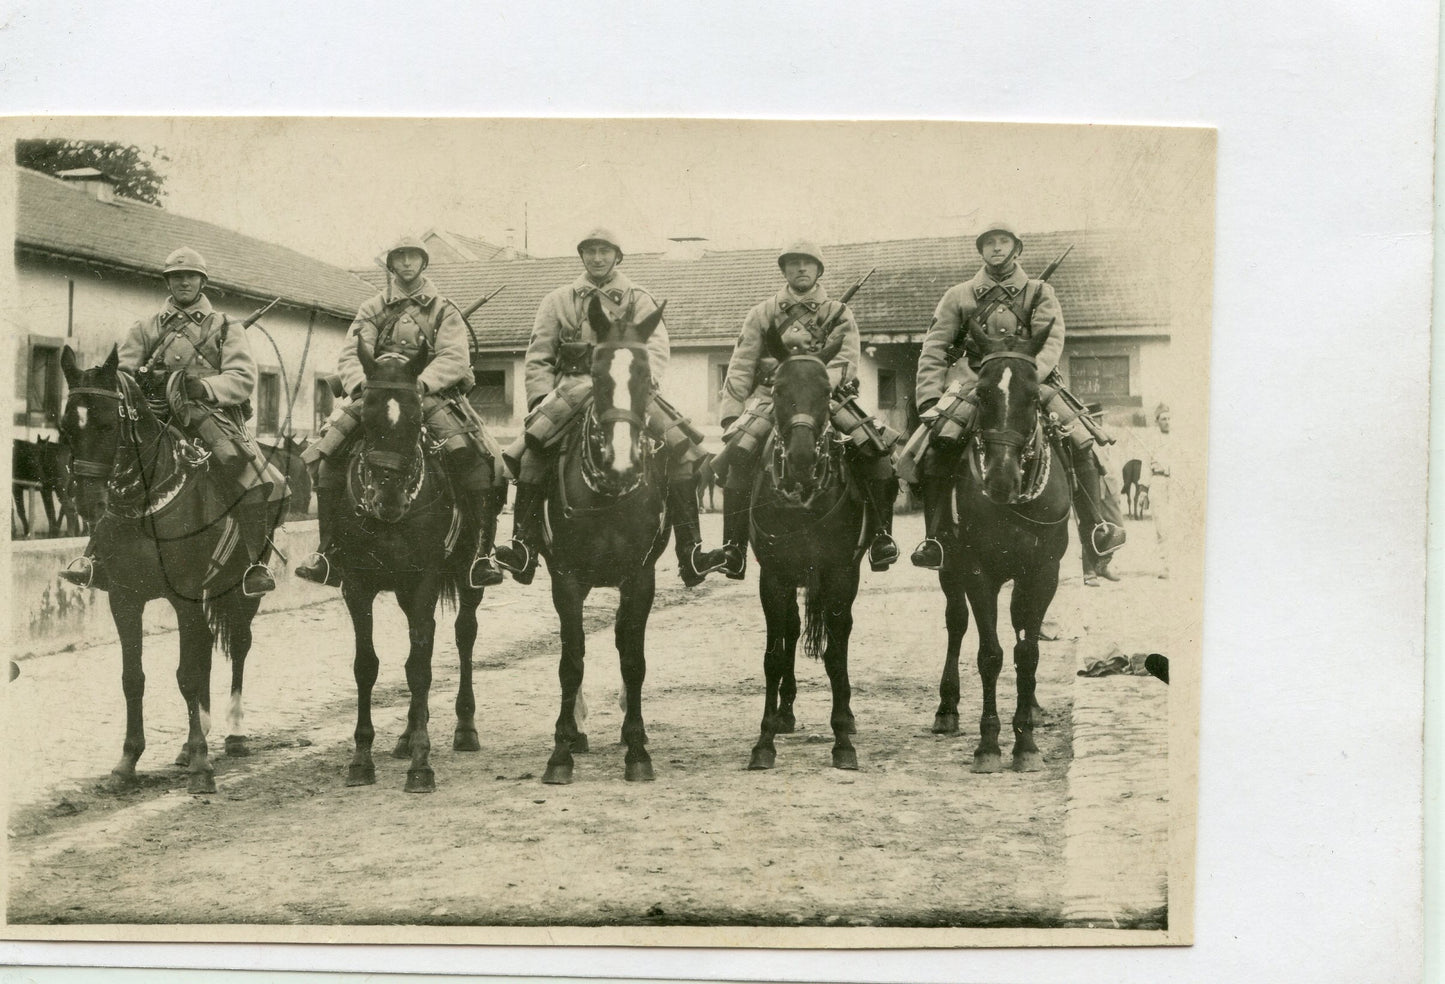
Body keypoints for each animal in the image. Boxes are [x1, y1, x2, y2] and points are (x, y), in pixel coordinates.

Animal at [59, 343, 280, 791]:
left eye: (108, 424)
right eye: (67, 427)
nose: (89, 504)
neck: (147, 500)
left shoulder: (185, 597)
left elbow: (188, 675)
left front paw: (201, 764)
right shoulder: (125, 599)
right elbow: (134, 678)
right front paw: (127, 762)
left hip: (240, 590)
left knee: (239, 646)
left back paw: (232, 733)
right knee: (208, 650)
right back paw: (191, 742)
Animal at [332, 338, 485, 791]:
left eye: (417, 413)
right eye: (365, 415)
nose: (389, 499)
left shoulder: (424, 581)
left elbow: (419, 668)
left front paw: (421, 764)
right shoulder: (357, 586)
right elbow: (367, 666)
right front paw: (362, 759)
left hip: (467, 578)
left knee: (463, 636)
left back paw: (464, 728)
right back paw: (404, 735)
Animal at [543, 293, 670, 780]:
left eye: (646, 378)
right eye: (596, 376)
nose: (621, 464)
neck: (609, 493)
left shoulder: (640, 578)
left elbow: (633, 660)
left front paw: (636, 749)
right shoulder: (565, 579)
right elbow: (571, 660)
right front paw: (561, 750)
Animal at [745, 326, 867, 768]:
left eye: (827, 390)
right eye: (778, 388)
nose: (799, 458)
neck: (801, 498)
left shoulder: (839, 574)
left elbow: (835, 655)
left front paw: (842, 740)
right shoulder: (774, 578)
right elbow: (774, 655)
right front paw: (764, 741)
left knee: (839, 635)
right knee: (792, 631)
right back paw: (785, 712)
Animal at [930, 320, 1069, 768]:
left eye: (1034, 395)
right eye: (982, 393)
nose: (1001, 479)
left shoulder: (1043, 573)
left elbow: (1028, 654)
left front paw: (1026, 742)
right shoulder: (978, 571)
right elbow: (990, 654)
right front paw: (989, 744)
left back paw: (1035, 709)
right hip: (949, 568)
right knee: (957, 623)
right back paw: (947, 709)